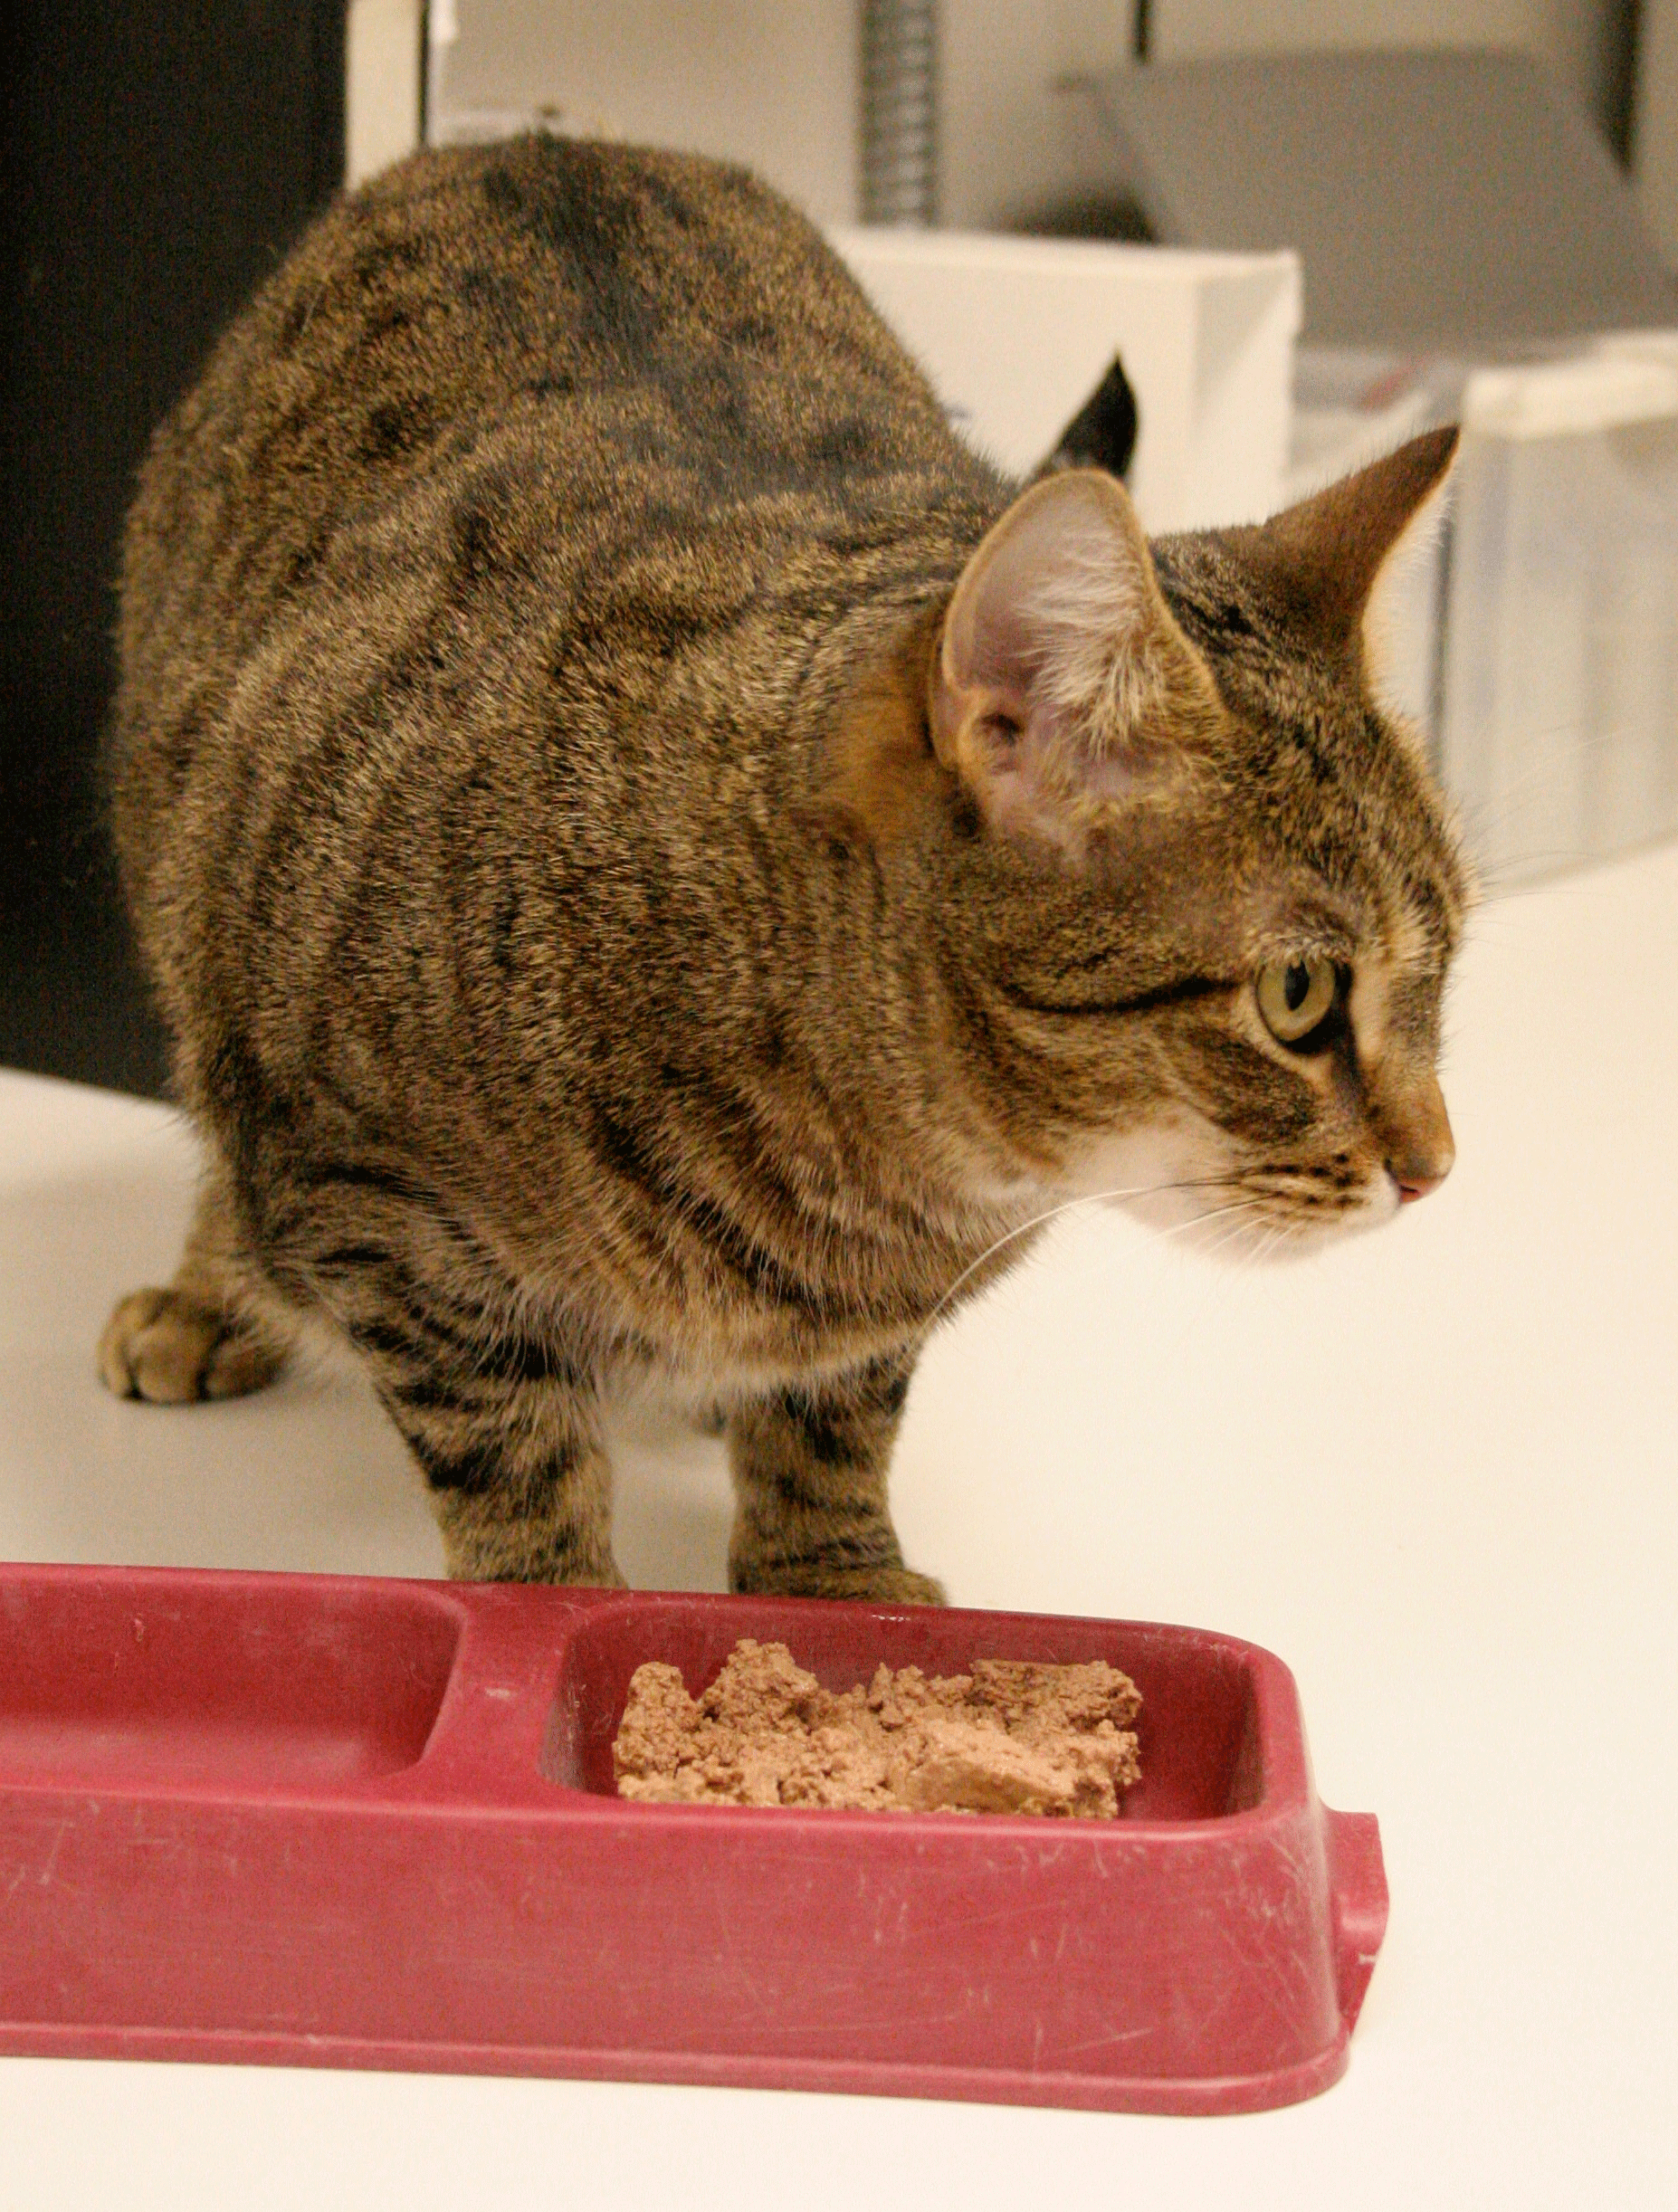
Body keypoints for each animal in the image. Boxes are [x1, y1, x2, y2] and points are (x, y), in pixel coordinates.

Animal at [101, 133, 1467, 1610]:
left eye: (1443, 971)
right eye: (1297, 997)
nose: (1439, 1168)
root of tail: (539, 140)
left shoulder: (867, 1326)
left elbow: (835, 1418)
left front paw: (833, 1575)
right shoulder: (375, 1208)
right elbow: (513, 1455)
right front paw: (554, 1605)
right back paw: (208, 1291)